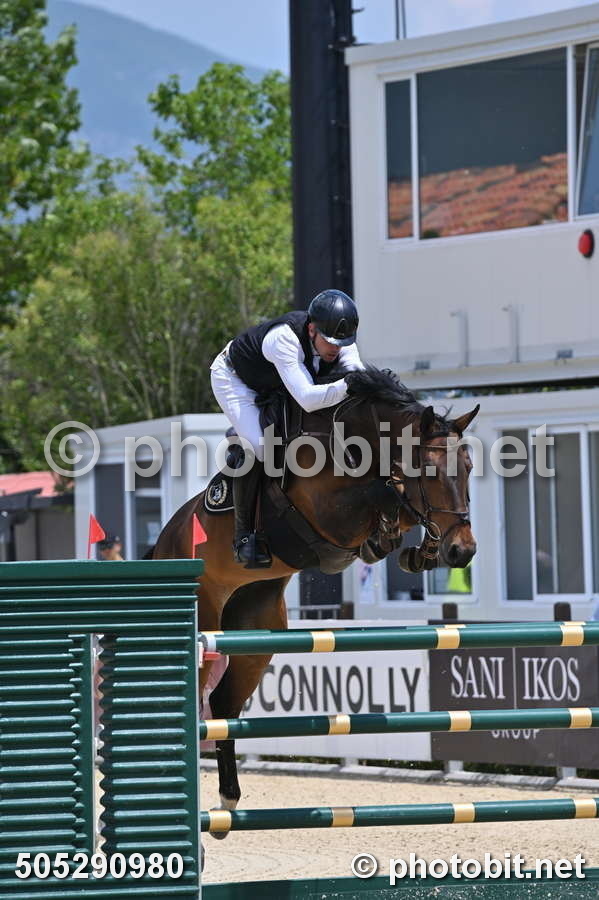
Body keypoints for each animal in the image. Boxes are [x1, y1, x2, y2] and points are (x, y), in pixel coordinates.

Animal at [150, 367, 479, 825]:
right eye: (430, 471)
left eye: (468, 467)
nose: (463, 551)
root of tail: (164, 544)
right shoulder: (329, 516)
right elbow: (385, 492)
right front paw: (392, 524)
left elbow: (397, 507)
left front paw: (411, 549)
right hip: (206, 627)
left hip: (254, 636)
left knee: (224, 705)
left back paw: (228, 802)